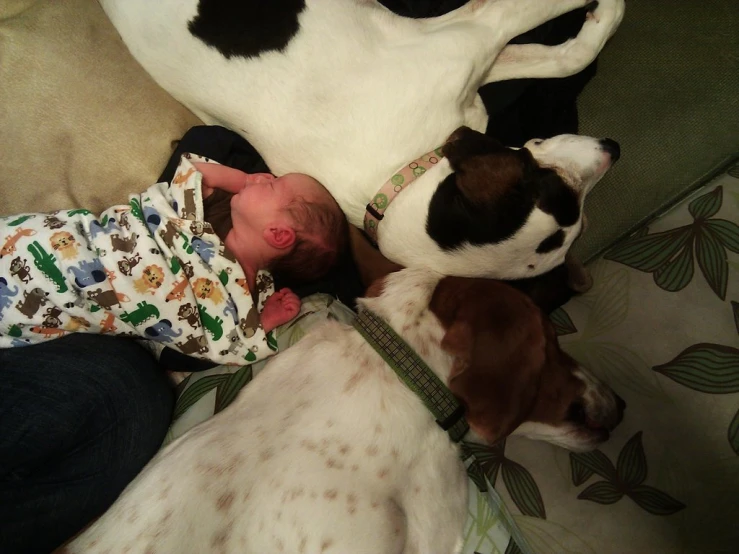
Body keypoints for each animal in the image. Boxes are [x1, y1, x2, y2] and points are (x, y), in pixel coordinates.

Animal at [101, 0, 628, 276]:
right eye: (557, 189)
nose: (615, 148)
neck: (398, 173)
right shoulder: (467, 33)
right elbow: (547, 23)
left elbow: (562, 58)